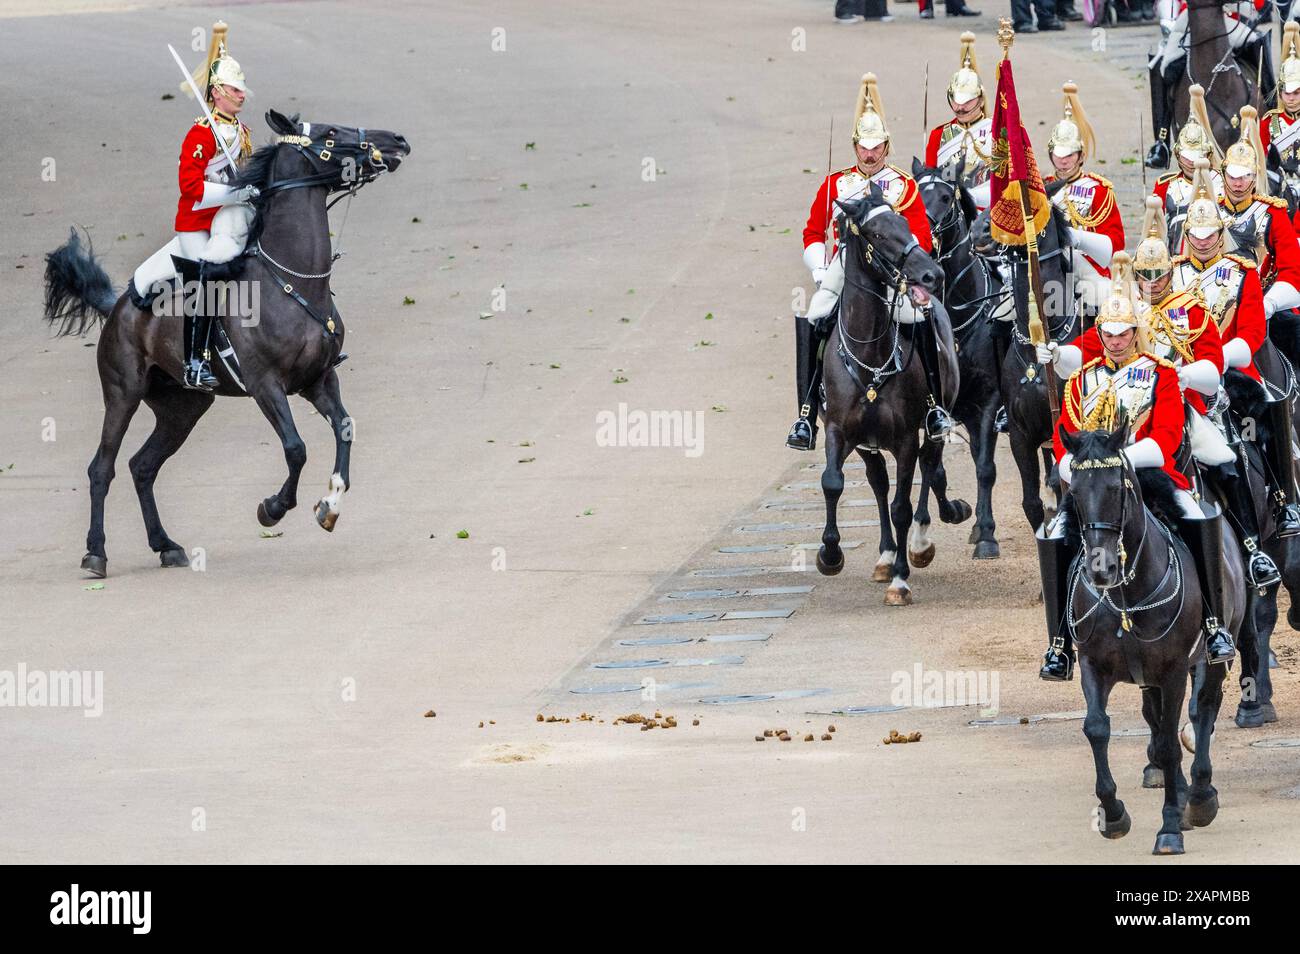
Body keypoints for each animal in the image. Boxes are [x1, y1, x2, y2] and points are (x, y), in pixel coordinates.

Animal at [45, 109, 408, 579]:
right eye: (330, 133)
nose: (397, 140)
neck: (290, 279)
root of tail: (120, 304)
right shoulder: (265, 384)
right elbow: (296, 448)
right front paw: (273, 508)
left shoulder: (319, 379)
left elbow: (344, 428)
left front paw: (328, 506)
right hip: (123, 395)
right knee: (101, 468)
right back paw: (96, 553)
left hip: (185, 407)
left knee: (142, 467)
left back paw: (166, 545)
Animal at [816, 187, 972, 605]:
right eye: (878, 234)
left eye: (905, 223)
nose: (932, 274)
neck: (869, 352)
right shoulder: (838, 431)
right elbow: (832, 483)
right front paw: (830, 554)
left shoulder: (904, 439)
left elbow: (902, 504)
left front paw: (901, 580)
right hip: (868, 444)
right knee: (879, 483)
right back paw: (886, 556)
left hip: (933, 425)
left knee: (929, 469)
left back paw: (918, 544)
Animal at [1060, 428, 1232, 857]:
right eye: (1075, 493)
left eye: (1116, 487)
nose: (1100, 570)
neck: (1126, 595)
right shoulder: (1093, 665)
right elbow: (1097, 728)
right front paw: (1113, 813)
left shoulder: (1174, 669)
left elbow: (1172, 743)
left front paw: (1169, 827)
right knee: (1158, 717)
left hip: (1211, 655)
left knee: (1203, 710)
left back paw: (1200, 796)